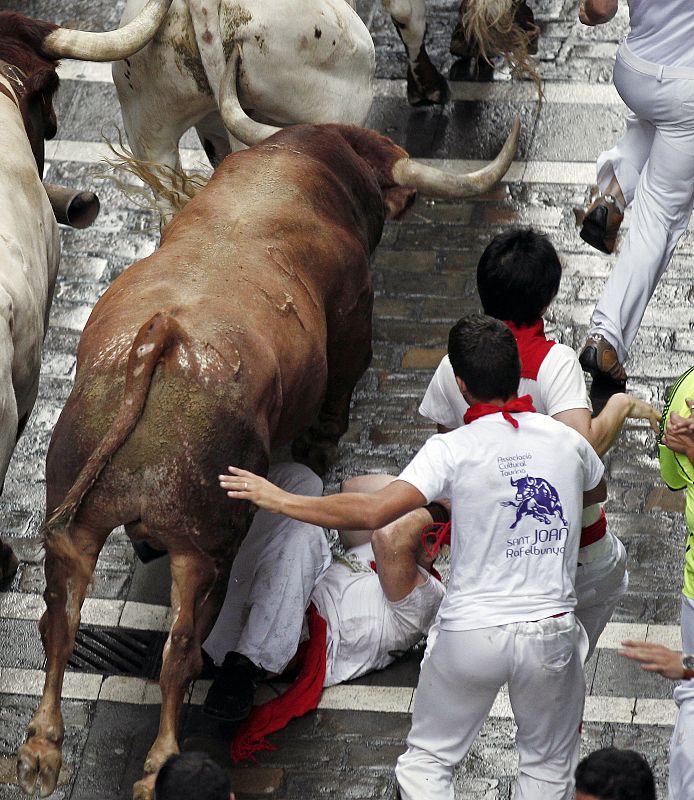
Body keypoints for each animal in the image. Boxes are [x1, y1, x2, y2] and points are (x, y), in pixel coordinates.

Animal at [14, 120, 516, 800]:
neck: (300, 166)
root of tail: (164, 338)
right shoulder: (354, 317)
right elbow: (338, 396)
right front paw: (322, 446)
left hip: (75, 518)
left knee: (60, 624)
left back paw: (41, 748)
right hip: (203, 549)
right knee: (179, 652)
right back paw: (158, 762)